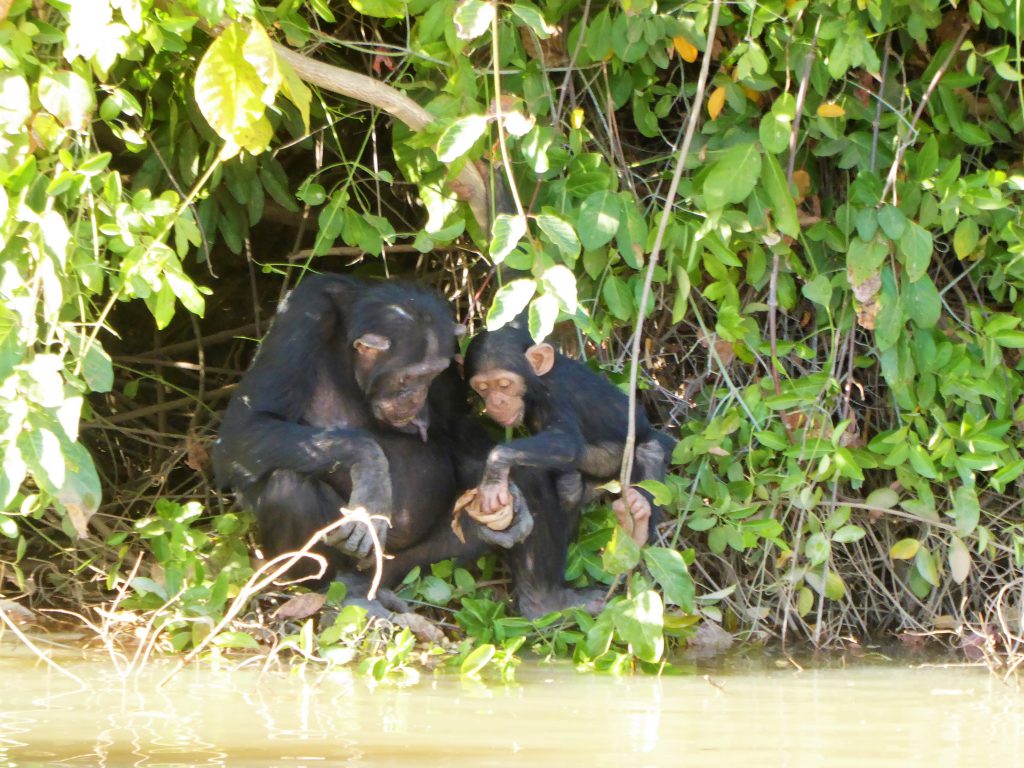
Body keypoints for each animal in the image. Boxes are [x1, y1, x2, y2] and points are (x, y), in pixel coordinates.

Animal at [216, 274, 598, 622]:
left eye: (432, 375)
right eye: (408, 378)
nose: (415, 398)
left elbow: (456, 423)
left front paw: (513, 505)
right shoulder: (301, 317)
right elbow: (246, 427)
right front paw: (372, 475)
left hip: (416, 565)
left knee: (525, 472)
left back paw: (546, 601)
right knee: (287, 486)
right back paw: (345, 592)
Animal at [462, 319, 671, 548]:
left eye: (504, 385)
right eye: (483, 388)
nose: (496, 402)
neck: (536, 388)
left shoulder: (558, 393)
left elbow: (567, 442)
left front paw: (493, 474)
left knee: (650, 451)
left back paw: (639, 529)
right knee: (569, 488)